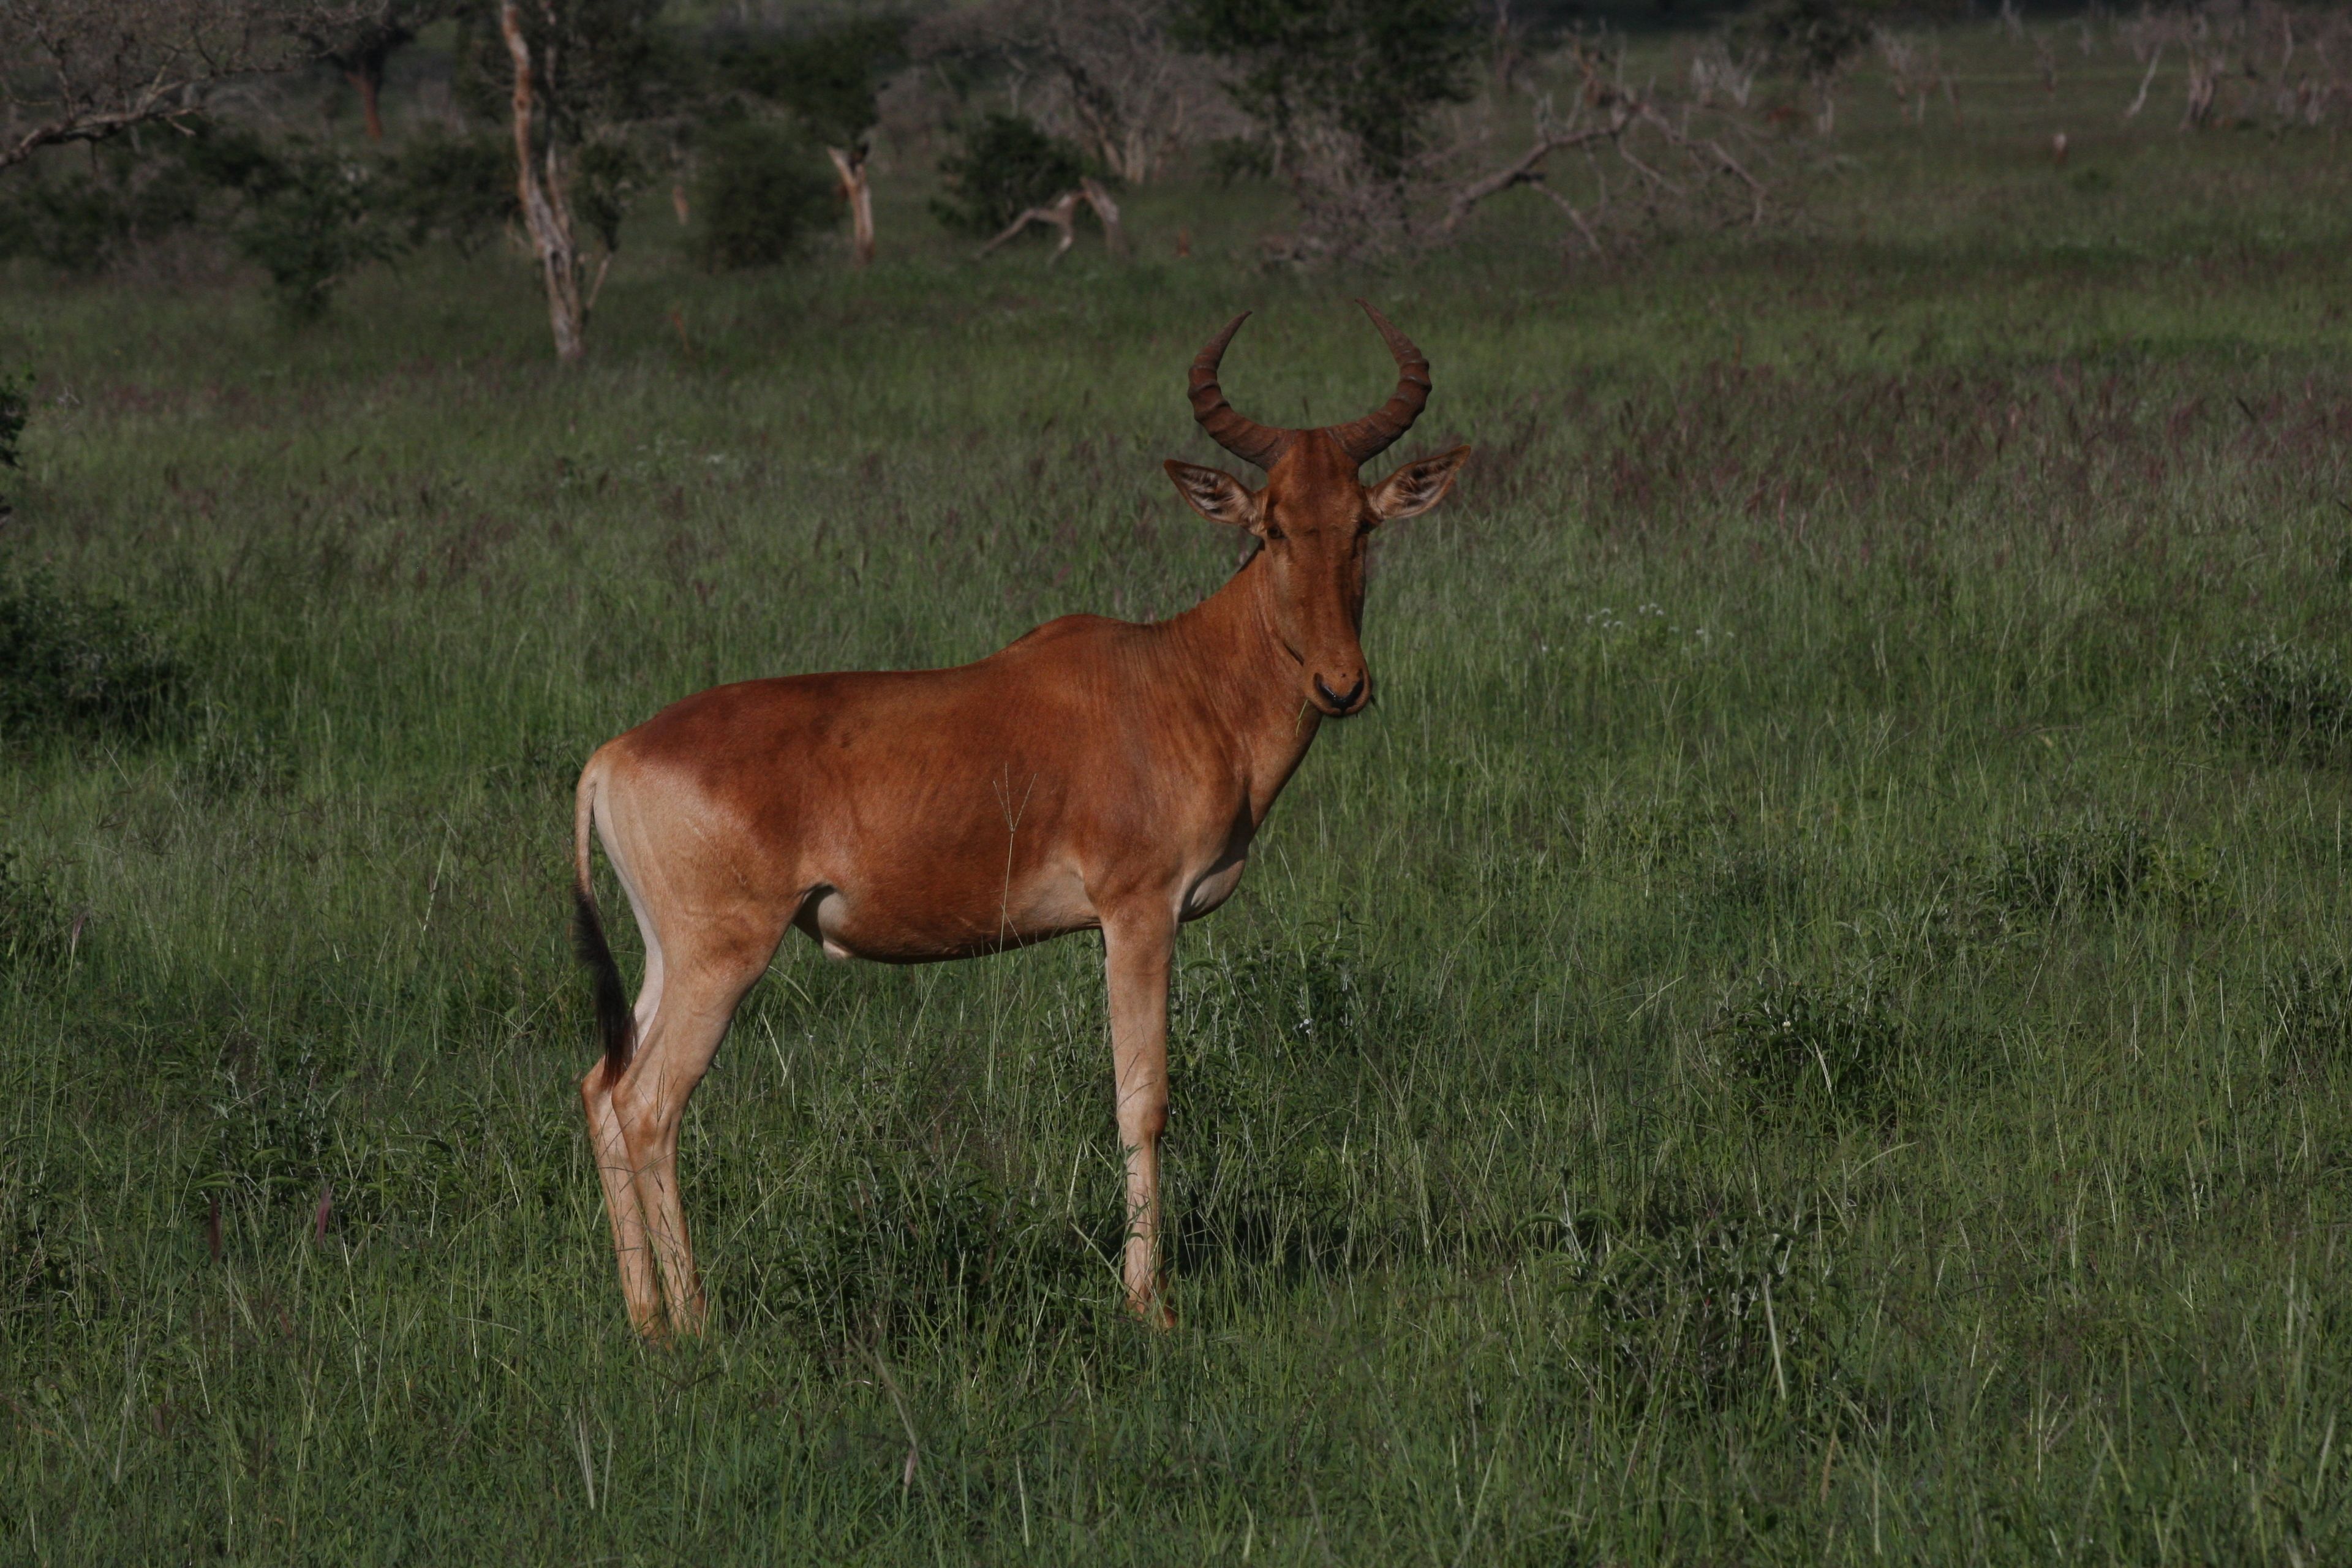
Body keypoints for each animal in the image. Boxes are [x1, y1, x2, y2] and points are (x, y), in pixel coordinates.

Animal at [571, 302, 1472, 1337]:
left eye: (1363, 522)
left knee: (602, 1089)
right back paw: (696, 1326)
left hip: (668, 954)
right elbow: (1142, 1099)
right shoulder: (1138, 914)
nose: (1342, 685)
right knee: (651, 1105)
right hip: (723, 957)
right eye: (1273, 524)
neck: (1179, 674)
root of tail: (613, 756)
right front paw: (1149, 1306)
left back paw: (644, 1321)